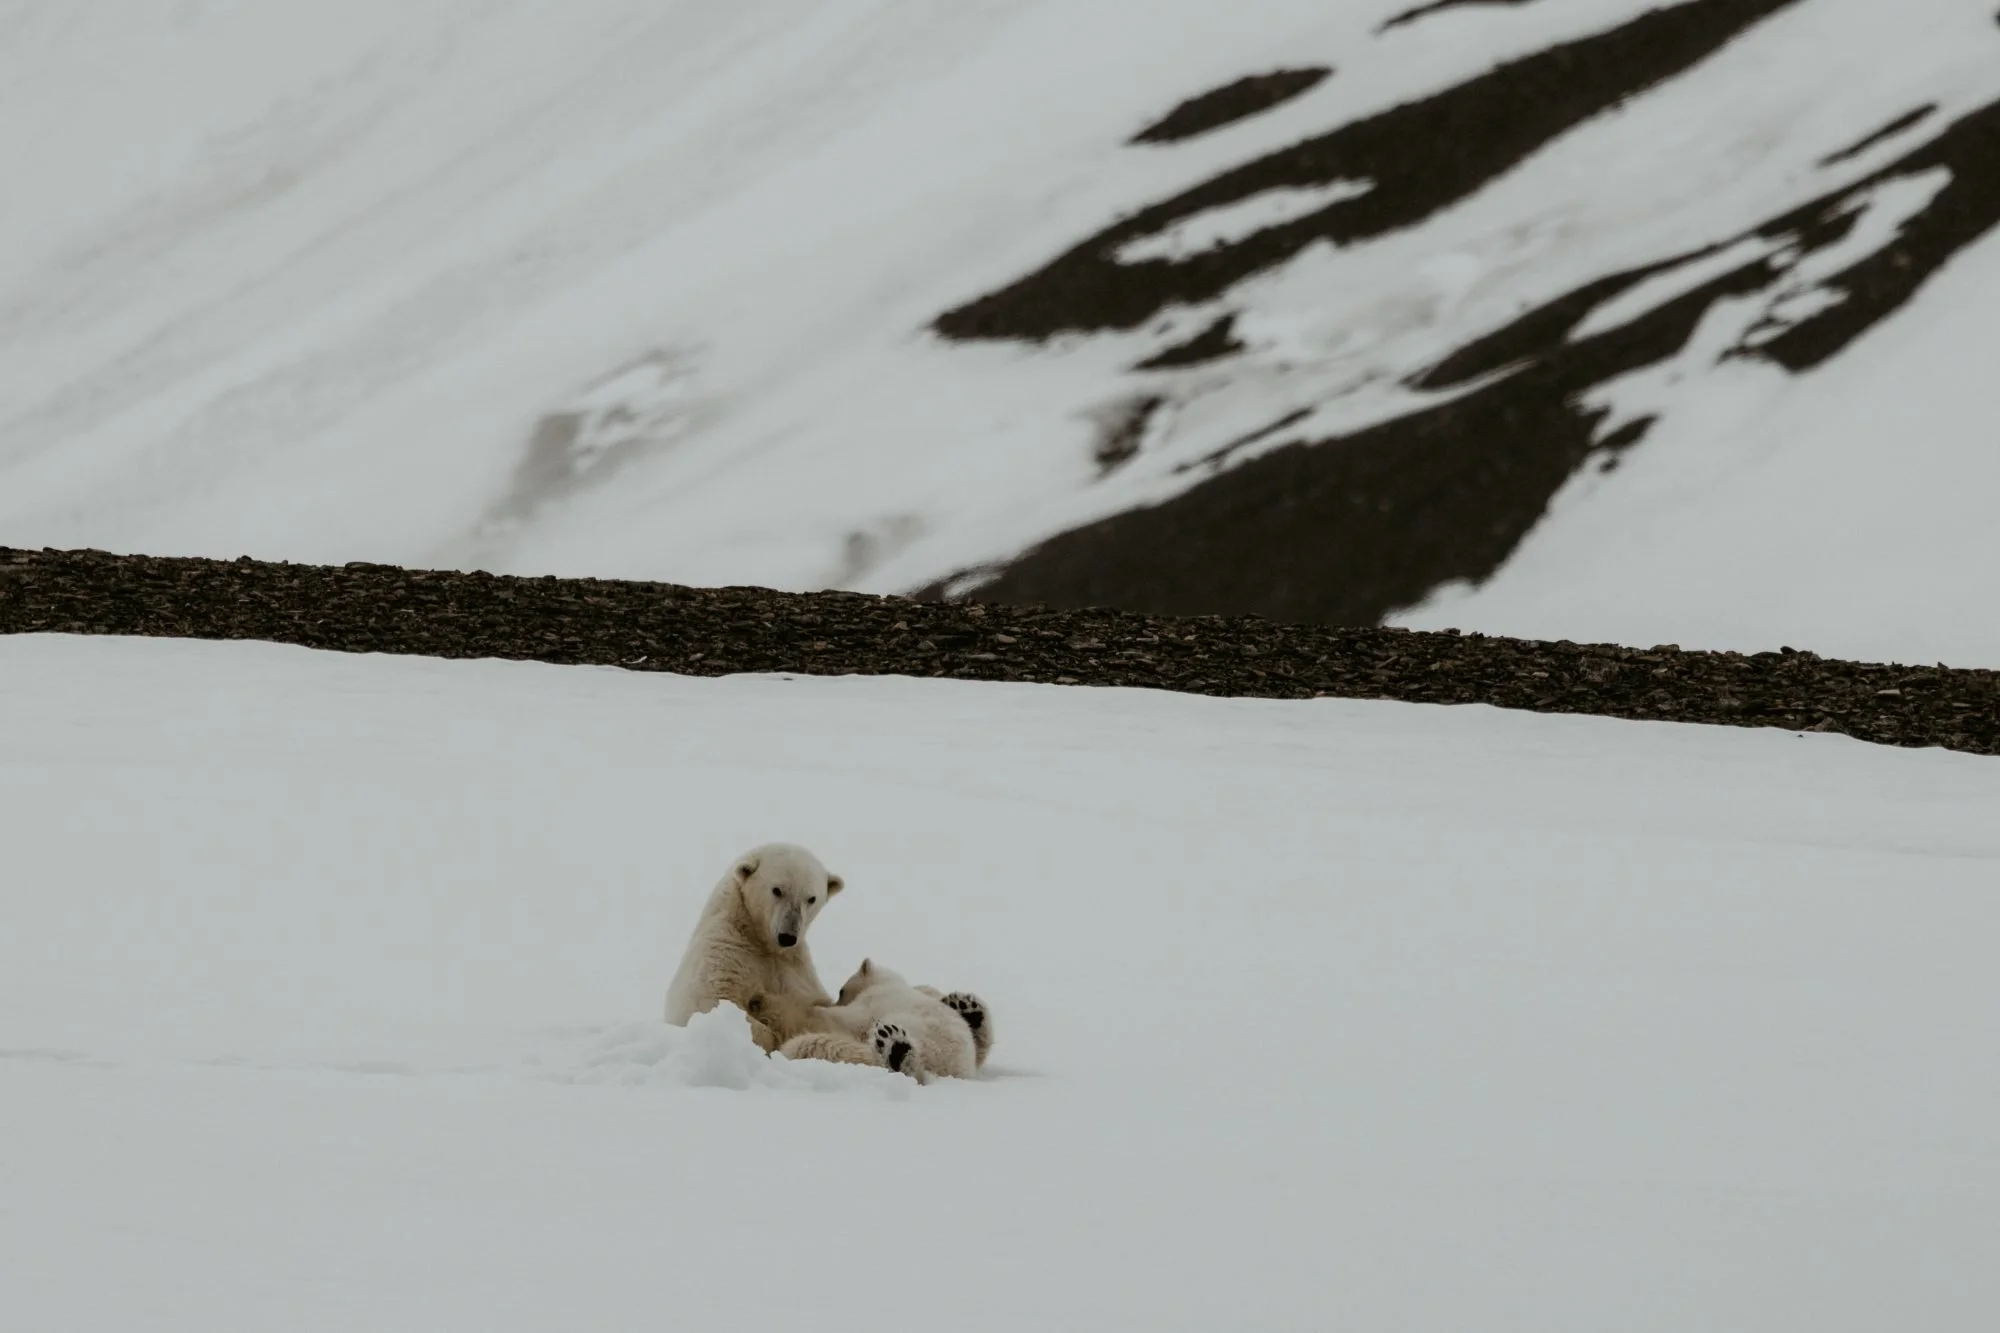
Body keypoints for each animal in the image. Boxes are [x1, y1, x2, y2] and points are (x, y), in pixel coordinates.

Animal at [663, 843, 843, 1054]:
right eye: (777, 890)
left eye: (811, 898)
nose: (787, 937)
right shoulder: (724, 948)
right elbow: (709, 1003)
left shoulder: (795, 968)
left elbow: (816, 1005)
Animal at [771, 958, 993, 1084]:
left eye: (841, 991)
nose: (835, 1001)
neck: (885, 982)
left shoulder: (873, 1001)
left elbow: (851, 1019)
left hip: (923, 1035)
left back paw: (896, 1050)